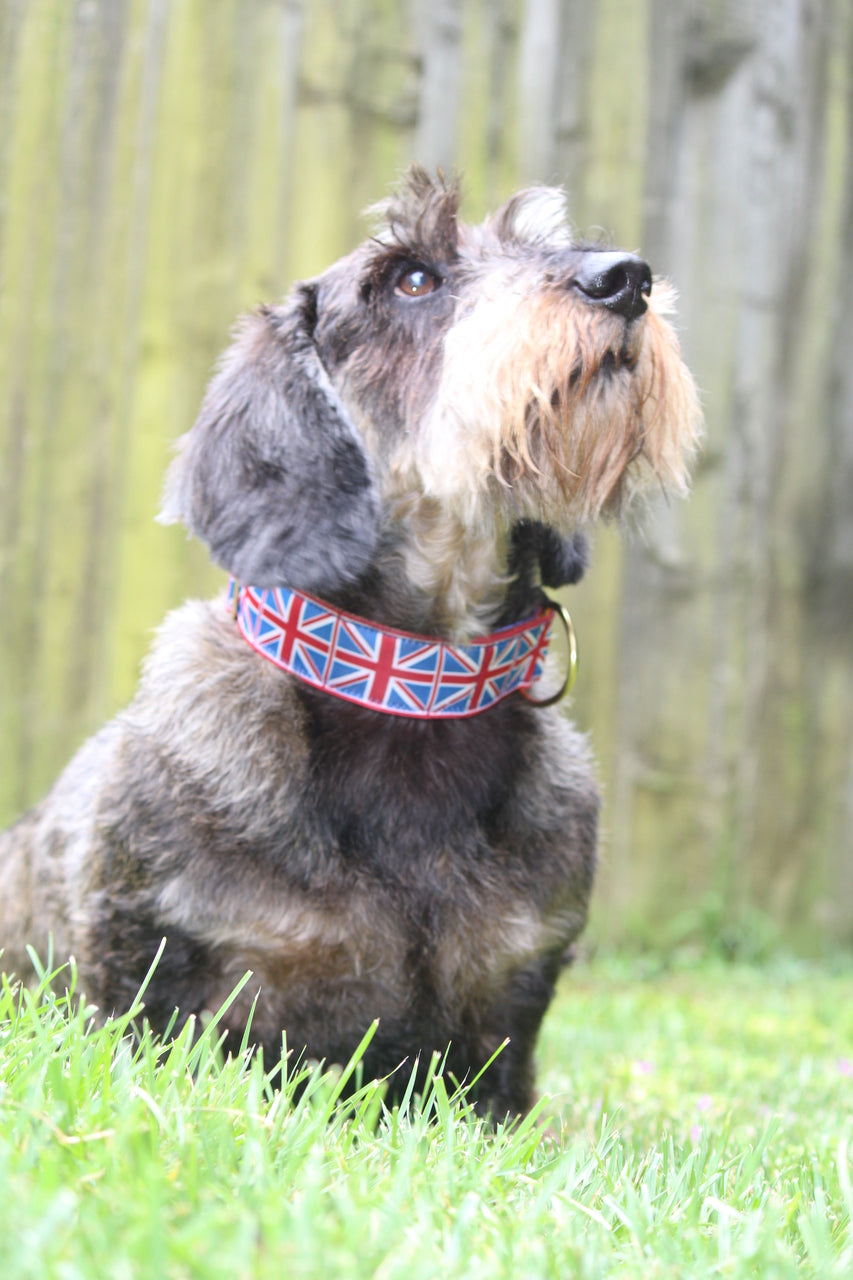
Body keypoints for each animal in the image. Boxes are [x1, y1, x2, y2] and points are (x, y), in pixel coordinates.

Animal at [0, 172, 696, 1121]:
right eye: (410, 278)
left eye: (543, 241)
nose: (625, 278)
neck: (411, 681)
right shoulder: (155, 987)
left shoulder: (501, 1030)